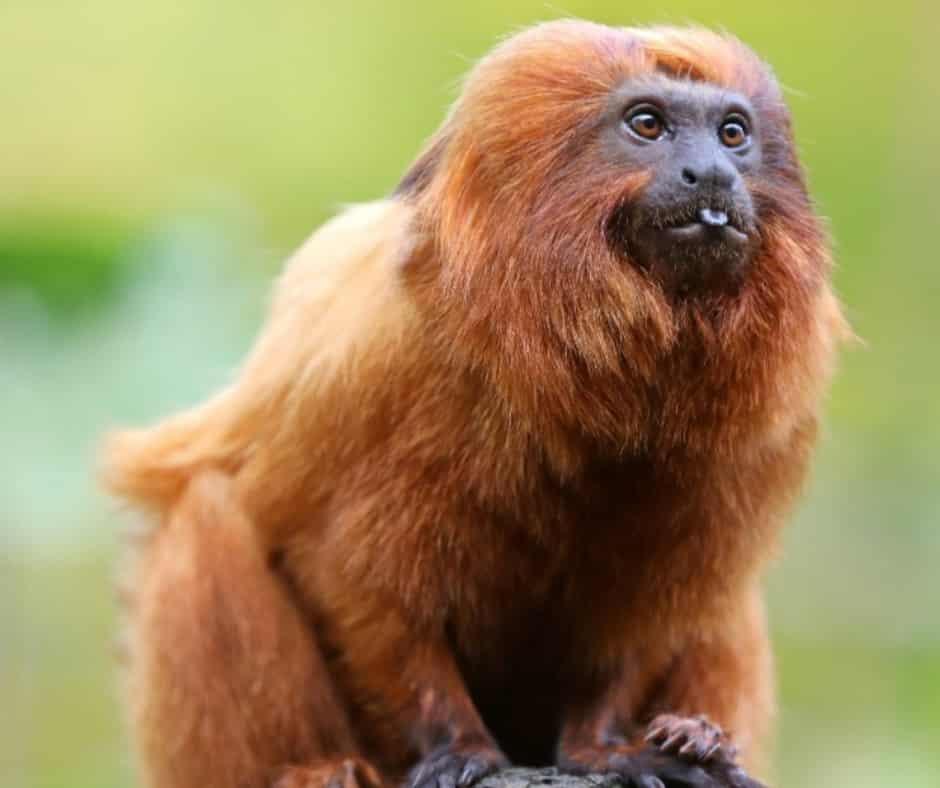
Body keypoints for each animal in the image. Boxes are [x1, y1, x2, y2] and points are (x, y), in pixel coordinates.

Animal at [101, 16, 844, 788]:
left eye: (732, 133)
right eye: (647, 124)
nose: (715, 174)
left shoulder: (777, 407)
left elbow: (650, 613)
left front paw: (605, 744)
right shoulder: (367, 348)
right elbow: (360, 585)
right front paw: (458, 745)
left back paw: (697, 738)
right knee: (205, 518)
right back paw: (317, 768)